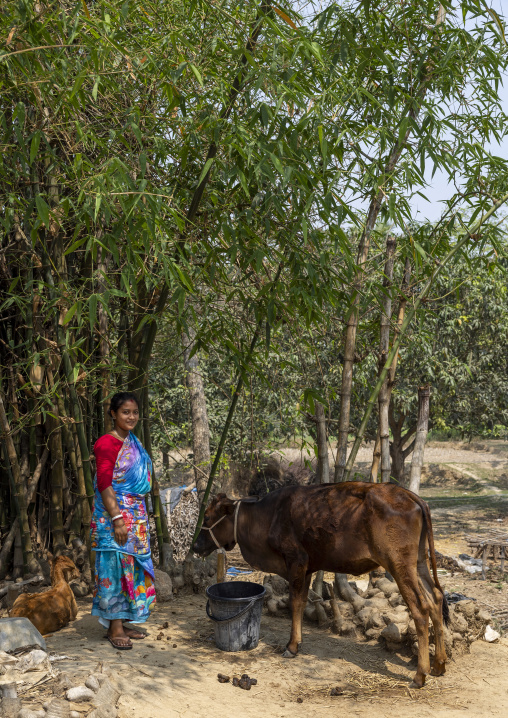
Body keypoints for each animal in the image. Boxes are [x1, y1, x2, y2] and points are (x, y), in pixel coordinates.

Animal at [192, 482, 449, 688]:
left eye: (207, 518)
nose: (195, 546)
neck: (266, 517)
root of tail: (411, 496)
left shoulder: (296, 560)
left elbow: (295, 602)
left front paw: (292, 646)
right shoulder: (307, 567)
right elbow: (301, 601)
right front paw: (296, 643)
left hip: (399, 564)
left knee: (421, 608)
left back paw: (420, 675)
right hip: (419, 562)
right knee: (436, 598)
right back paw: (439, 665)